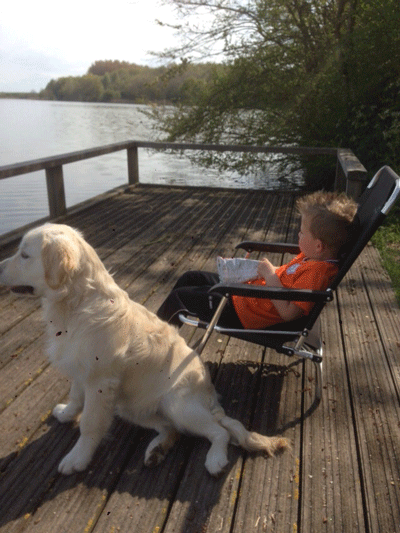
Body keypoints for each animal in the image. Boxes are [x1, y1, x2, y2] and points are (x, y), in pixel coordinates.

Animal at [0, 223, 289, 475]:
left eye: (24, 255)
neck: (76, 305)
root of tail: (210, 397)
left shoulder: (100, 382)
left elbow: (89, 424)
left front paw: (77, 459)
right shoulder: (81, 370)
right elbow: (74, 397)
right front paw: (65, 413)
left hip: (177, 405)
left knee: (221, 431)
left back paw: (215, 459)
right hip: (131, 406)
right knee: (171, 429)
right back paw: (156, 449)